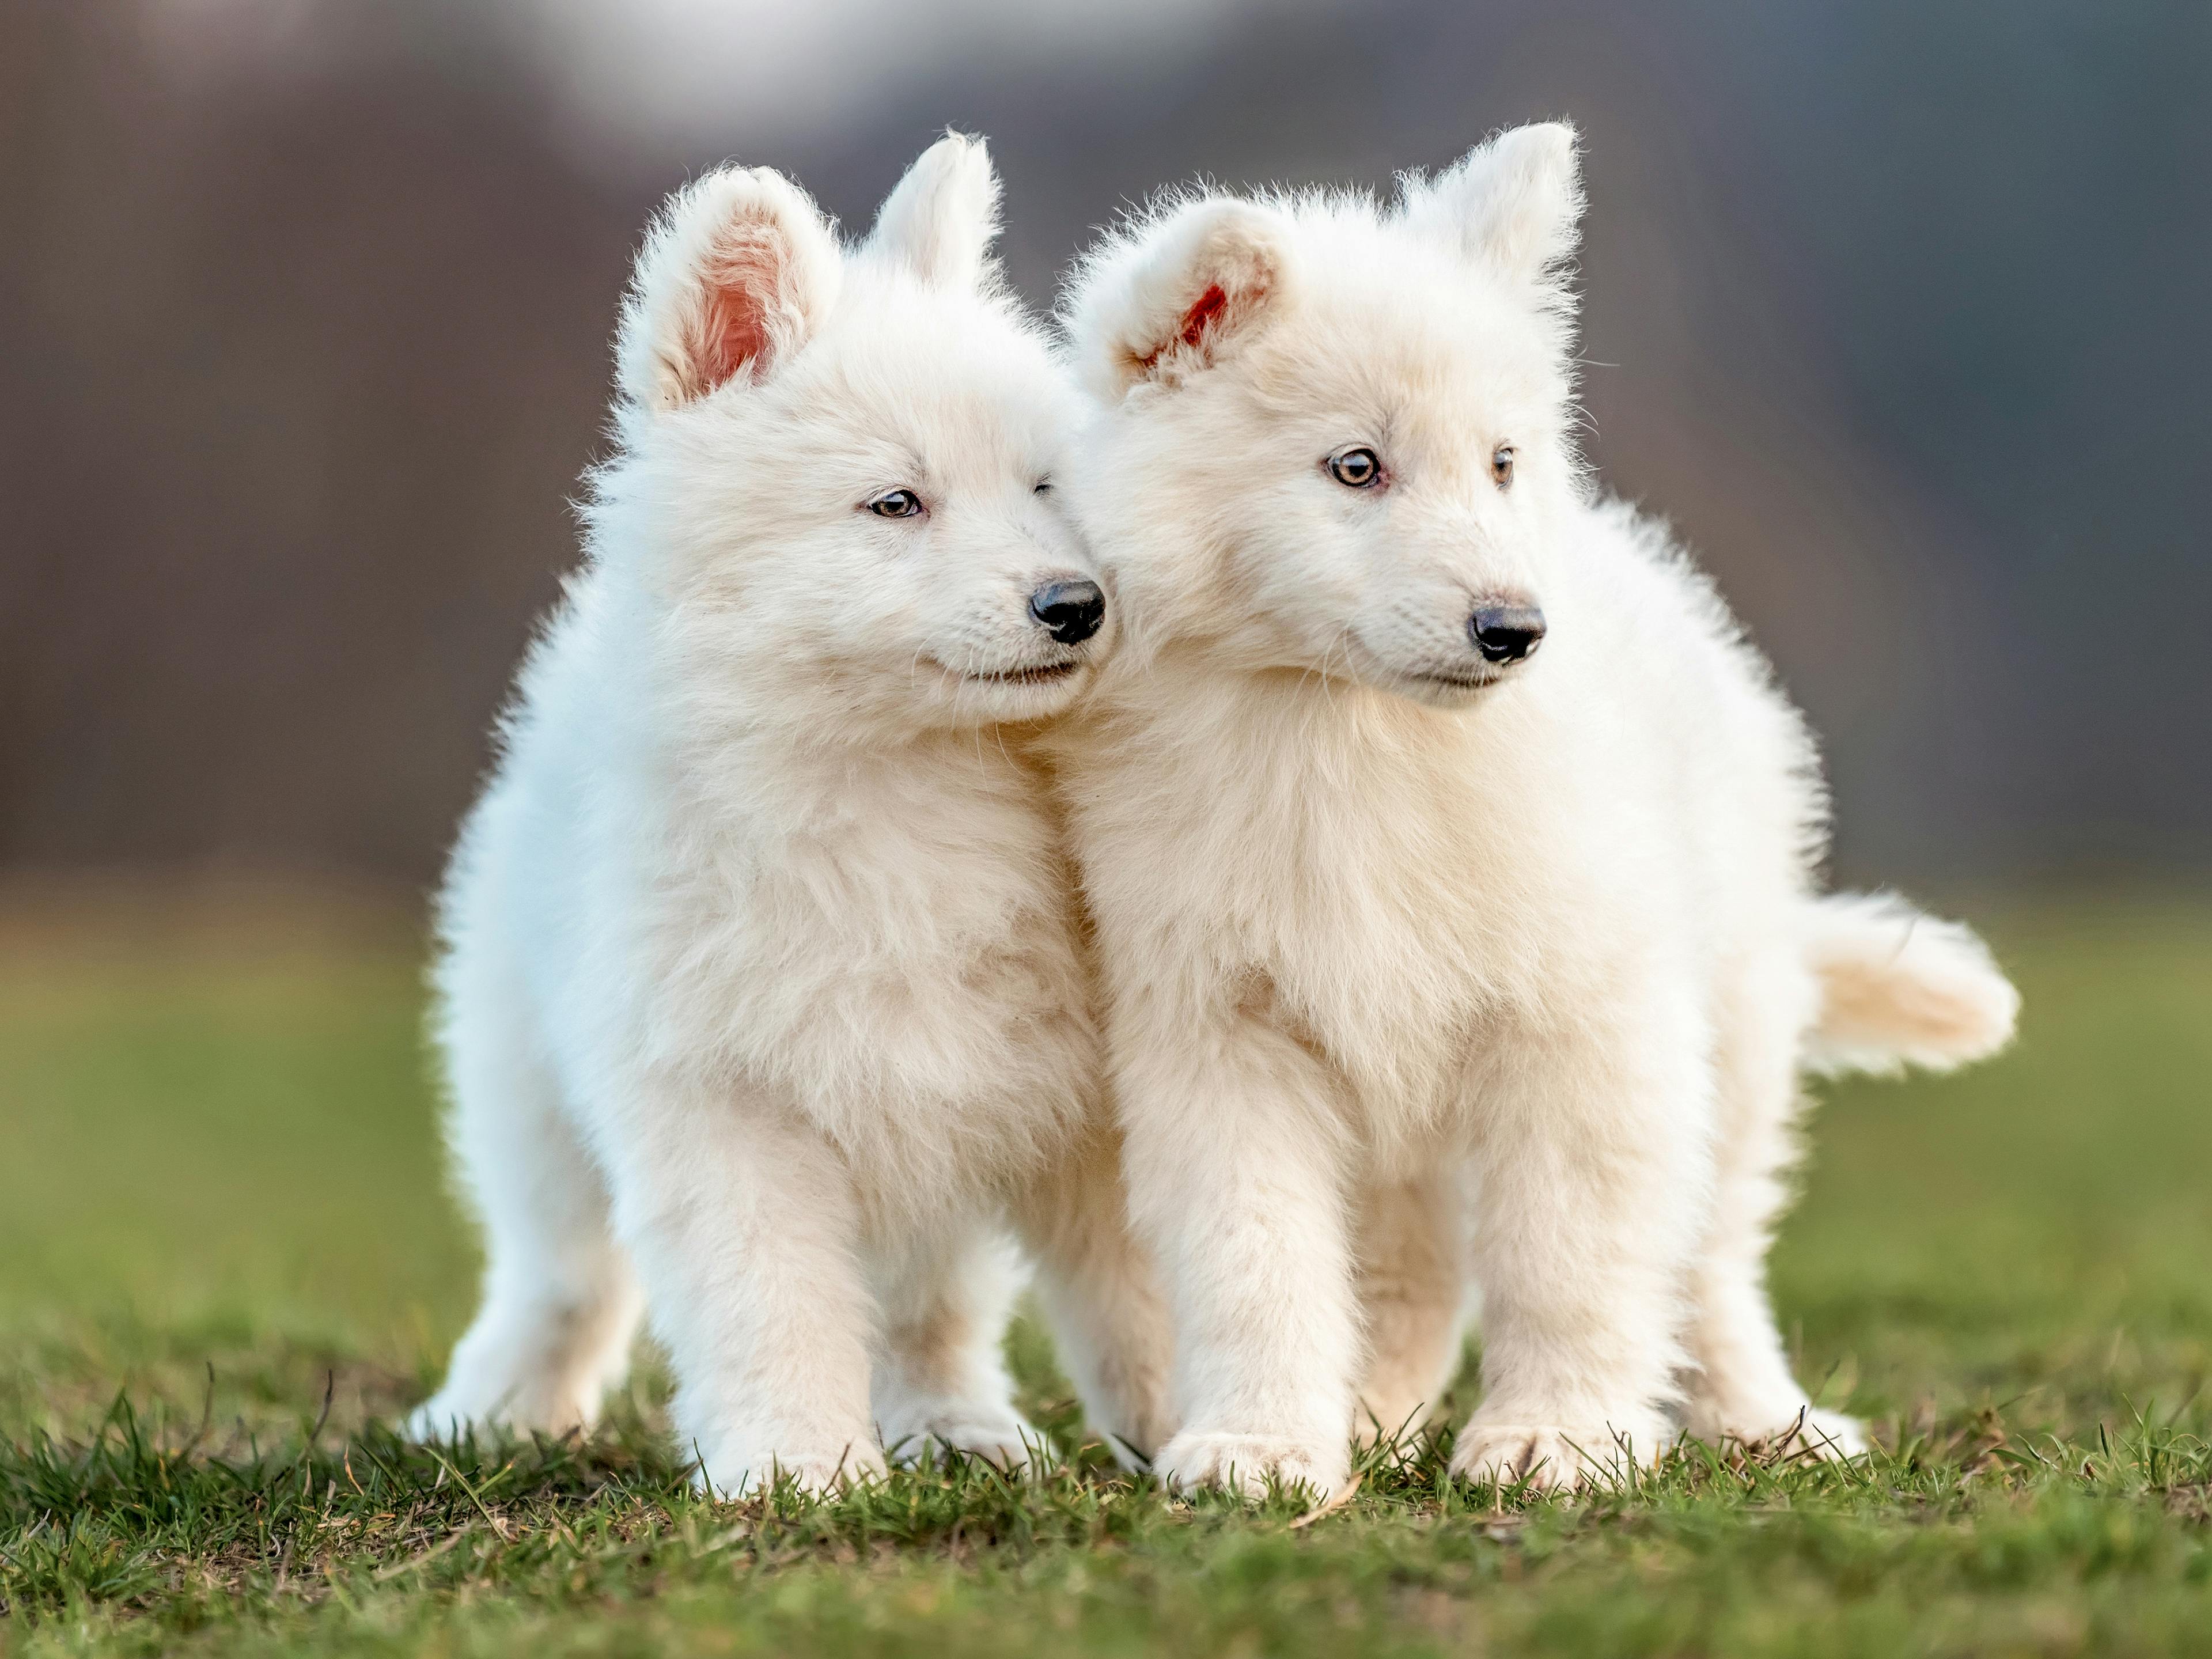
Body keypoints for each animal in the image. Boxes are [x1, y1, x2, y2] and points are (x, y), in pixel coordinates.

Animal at [414, 137, 1176, 1504]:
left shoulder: (1066, 1084)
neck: (901, 778)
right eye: (896, 504)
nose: (1076, 604)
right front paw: (798, 1470)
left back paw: (959, 1428)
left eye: (1046, 486)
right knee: (559, 1272)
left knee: (930, 1308)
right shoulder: (720, 1097)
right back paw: (492, 1408)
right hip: (528, 1074)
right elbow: (768, 1301)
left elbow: (1141, 1289)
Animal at [1052, 123, 2026, 1504]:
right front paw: (1266, 1446)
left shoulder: (1582, 1017)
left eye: (1502, 463)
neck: (1344, 743)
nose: (1514, 631)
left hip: (1731, 1024)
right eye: (1358, 467)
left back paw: (1763, 1422)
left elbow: (1573, 1256)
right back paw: (1376, 1418)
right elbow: (1256, 1258)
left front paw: (1555, 1441)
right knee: (1414, 1271)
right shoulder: (1221, 1029)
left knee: (1709, 1256)